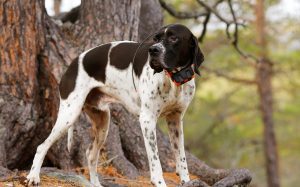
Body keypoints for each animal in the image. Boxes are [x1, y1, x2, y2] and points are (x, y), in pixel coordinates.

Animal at [26, 24, 204, 186]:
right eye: (156, 38)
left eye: (174, 38)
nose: (153, 50)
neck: (174, 79)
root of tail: (73, 63)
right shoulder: (147, 120)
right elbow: (155, 161)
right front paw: (159, 182)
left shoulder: (175, 120)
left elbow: (181, 158)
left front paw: (186, 181)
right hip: (69, 115)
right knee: (42, 147)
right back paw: (33, 177)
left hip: (103, 122)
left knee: (91, 154)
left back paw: (95, 184)